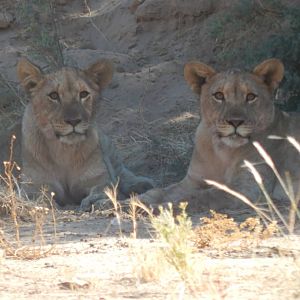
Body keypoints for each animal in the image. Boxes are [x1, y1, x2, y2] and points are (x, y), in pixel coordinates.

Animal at [16, 58, 154, 209]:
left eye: (83, 94)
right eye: (54, 95)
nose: (74, 121)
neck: (64, 152)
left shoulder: (98, 179)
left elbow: (105, 189)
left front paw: (94, 200)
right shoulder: (33, 186)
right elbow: (38, 198)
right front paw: (42, 205)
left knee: (121, 170)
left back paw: (142, 184)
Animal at [132, 58, 300, 212]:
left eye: (251, 96)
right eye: (219, 95)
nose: (235, 122)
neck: (222, 152)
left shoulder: (248, 188)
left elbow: (200, 197)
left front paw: (159, 208)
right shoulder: (193, 180)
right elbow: (162, 190)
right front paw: (136, 202)